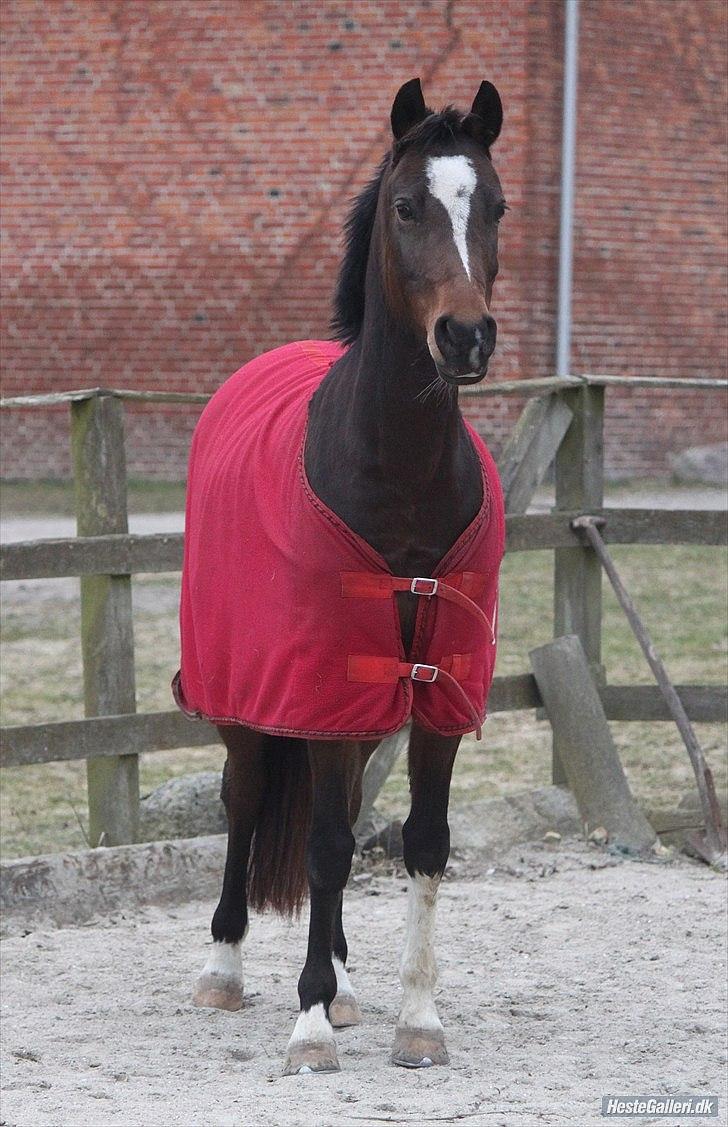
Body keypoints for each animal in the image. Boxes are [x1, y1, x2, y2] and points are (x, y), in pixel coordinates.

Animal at [175, 79, 507, 1072]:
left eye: (497, 206)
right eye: (407, 207)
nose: (465, 337)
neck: (396, 470)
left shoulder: (435, 686)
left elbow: (422, 842)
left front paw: (416, 1019)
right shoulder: (312, 682)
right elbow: (322, 846)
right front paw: (310, 1021)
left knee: (350, 808)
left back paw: (351, 980)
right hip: (247, 698)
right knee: (245, 800)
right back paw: (227, 966)